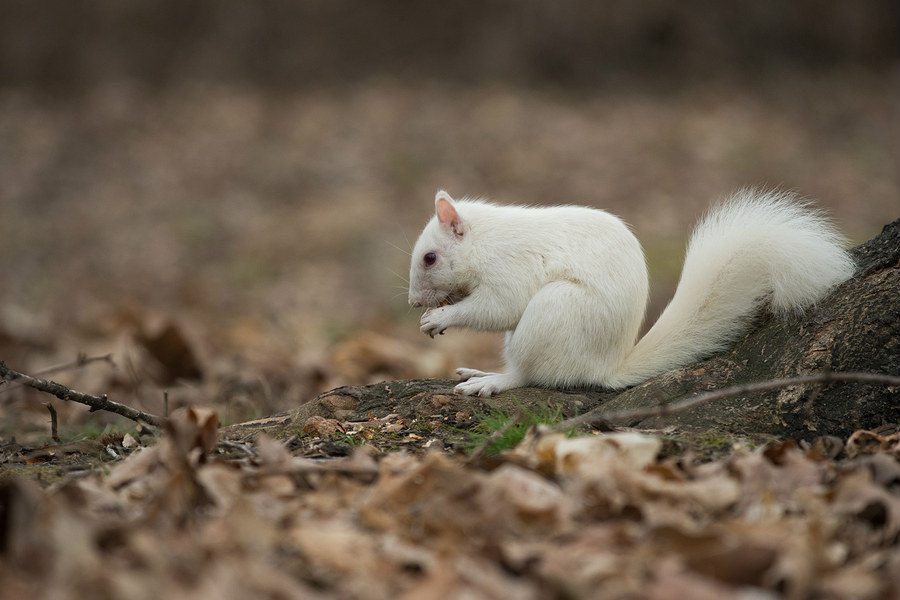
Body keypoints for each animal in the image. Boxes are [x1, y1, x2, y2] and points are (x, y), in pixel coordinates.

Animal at [407, 189, 855, 397]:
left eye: (430, 258)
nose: (413, 302)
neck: (483, 242)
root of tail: (604, 369)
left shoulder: (509, 270)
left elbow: (496, 309)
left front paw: (440, 317)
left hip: (554, 311)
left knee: (529, 375)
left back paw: (494, 381)